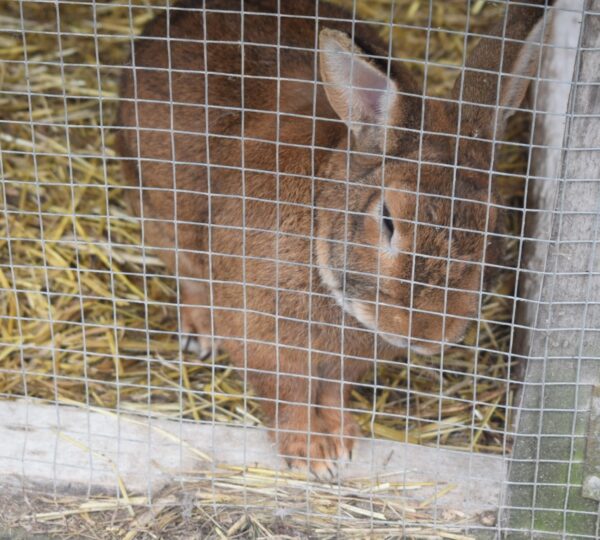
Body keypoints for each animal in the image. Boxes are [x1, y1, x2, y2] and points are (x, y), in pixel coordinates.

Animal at [117, 0, 552, 472]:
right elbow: (288, 394)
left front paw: (342, 442)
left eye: (493, 221)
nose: (427, 333)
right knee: (188, 274)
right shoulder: (264, 340)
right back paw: (201, 331)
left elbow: (331, 392)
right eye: (388, 219)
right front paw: (312, 455)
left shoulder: (346, 364)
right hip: (155, 212)